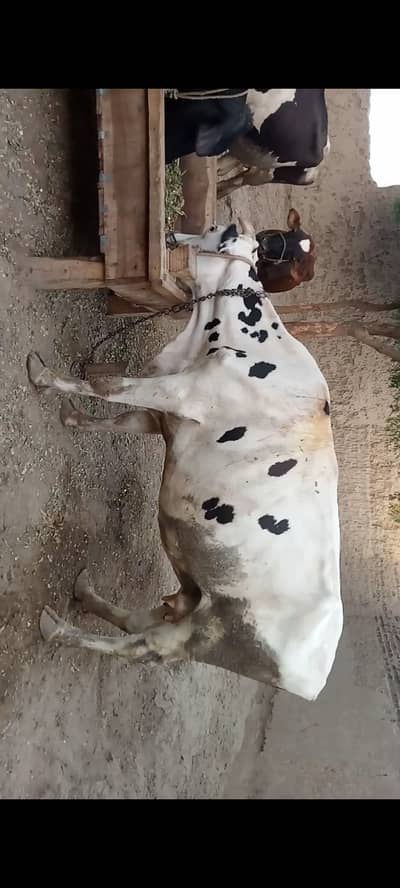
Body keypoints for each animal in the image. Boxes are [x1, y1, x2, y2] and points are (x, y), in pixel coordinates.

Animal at [27, 218, 342, 702]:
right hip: (197, 599)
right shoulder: (166, 415)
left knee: (140, 647)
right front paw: (71, 417)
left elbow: (109, 385)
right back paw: (83, 593)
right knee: (141, 621)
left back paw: (58, 630)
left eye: (215, 228)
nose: (174, 235)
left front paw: (43, 376)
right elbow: (119, 416)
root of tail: (317, 678)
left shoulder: (181, 393)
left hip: (209, 635)